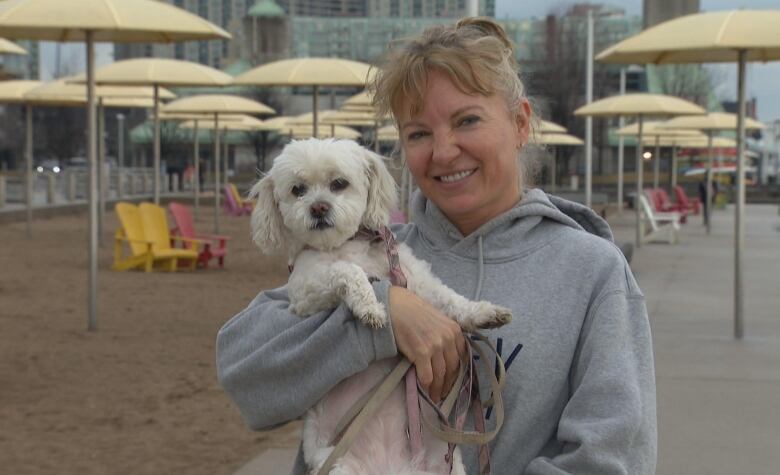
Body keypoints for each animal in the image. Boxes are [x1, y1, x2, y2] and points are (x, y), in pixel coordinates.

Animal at [250, 139, 512, 475]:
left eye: (339, 184)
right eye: (298, 189)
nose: (318, 207)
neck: (344, 245)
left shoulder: (415, 279)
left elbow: (448, 298)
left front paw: (484, 312)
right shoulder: (305, 293)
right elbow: (348, 271)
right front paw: (371, 307)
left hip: (448, 462)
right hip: (337, 466)